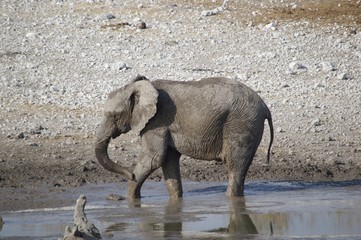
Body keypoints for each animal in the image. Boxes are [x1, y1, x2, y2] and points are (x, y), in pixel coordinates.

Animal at [95, 76, 272, 199]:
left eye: (114, 116)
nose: (129, 174)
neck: (141, 87)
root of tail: (264, 106)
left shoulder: (157, 122)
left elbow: (152, 159)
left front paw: (128, 201)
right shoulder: (164, 125)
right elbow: (168, 160)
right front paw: (176, 200)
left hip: (241, 123)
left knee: (234, 165)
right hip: (250, 125)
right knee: (242, 167)